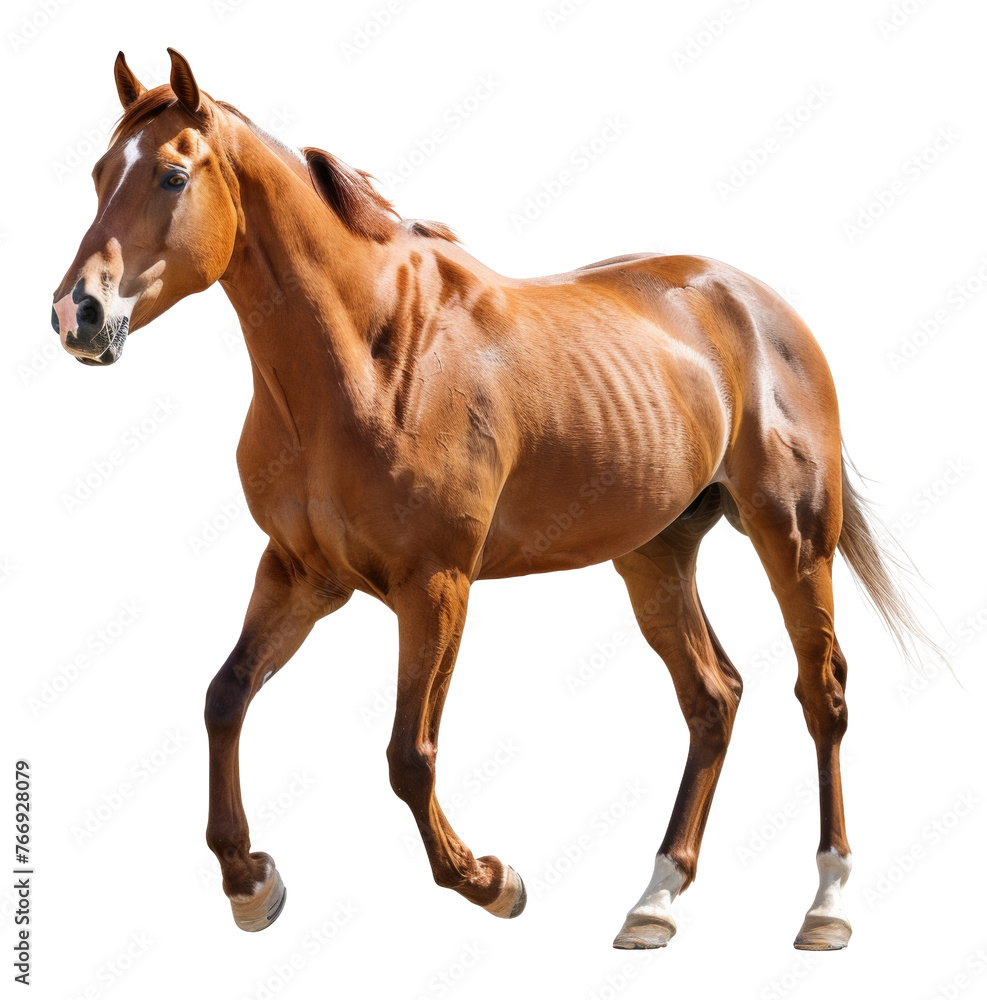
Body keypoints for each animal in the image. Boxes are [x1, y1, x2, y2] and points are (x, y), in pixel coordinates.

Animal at [51, 48, 933, 951]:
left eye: (170, 175)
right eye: (97, 174)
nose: (78, 312)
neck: (371, 357)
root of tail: (758, 305)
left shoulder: (435, 585)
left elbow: (409, 755)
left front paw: (490, 881)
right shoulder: (301, 574)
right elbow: (223, 699)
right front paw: (249, 882)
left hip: (791, 537)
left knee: (821, 693)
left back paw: (826, 905)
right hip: (654, 556)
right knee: (712, 697)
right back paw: (655, 901)